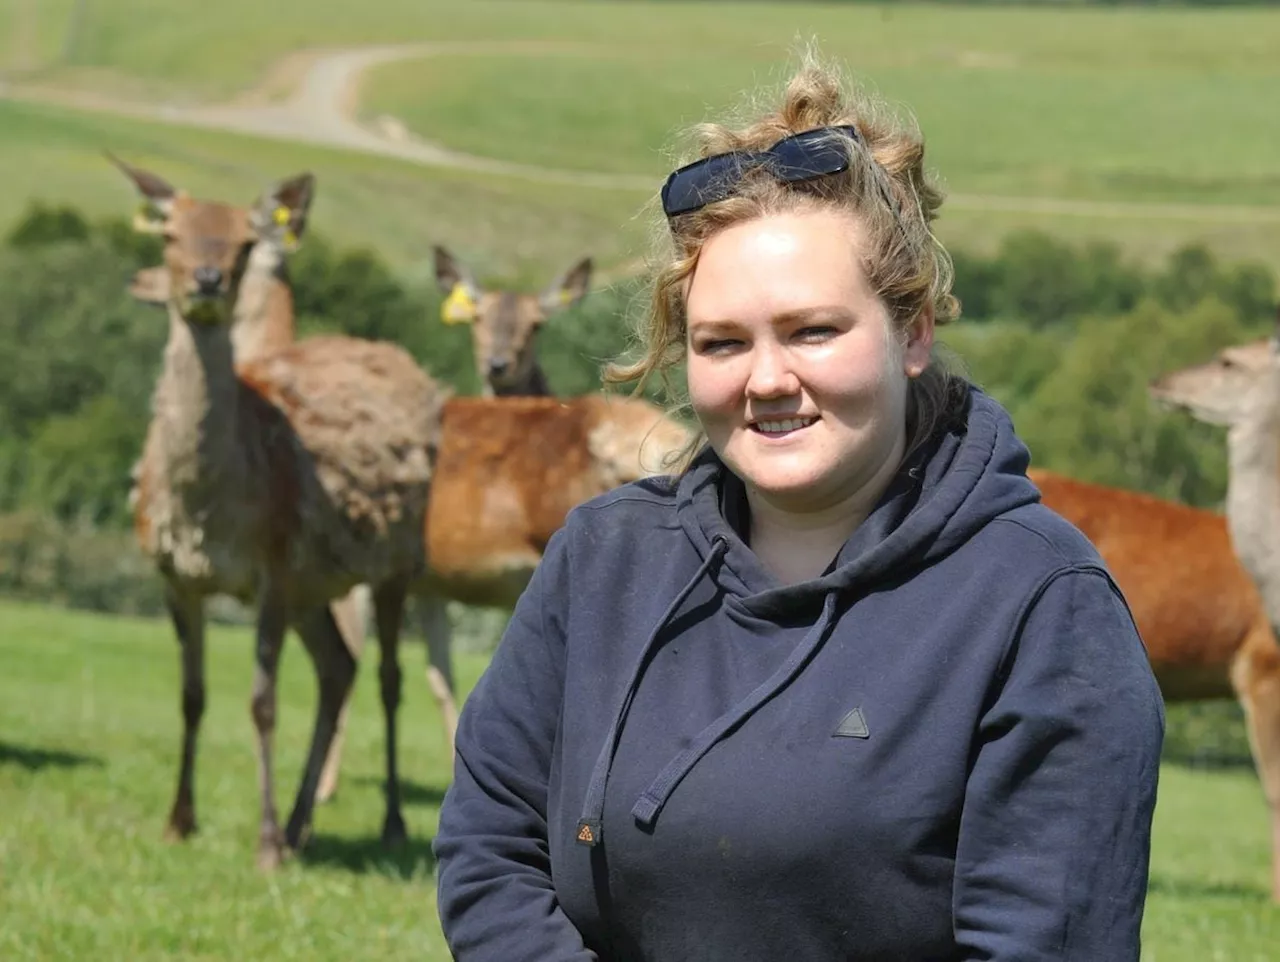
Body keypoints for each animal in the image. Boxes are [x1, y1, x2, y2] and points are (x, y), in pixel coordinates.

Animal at [111, 154, 450, 869]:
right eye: (170, 234)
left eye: (243, 242)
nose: (207, 281)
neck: (208, 508)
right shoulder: (175, 575)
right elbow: (192, 697)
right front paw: (180, 820)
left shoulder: (270, 564)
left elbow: (262, 701)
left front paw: (264, 842)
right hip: (313, 584)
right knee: (337, 668)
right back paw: (301, 824)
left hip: (396, 562)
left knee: (387, 676)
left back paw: (386, 823)